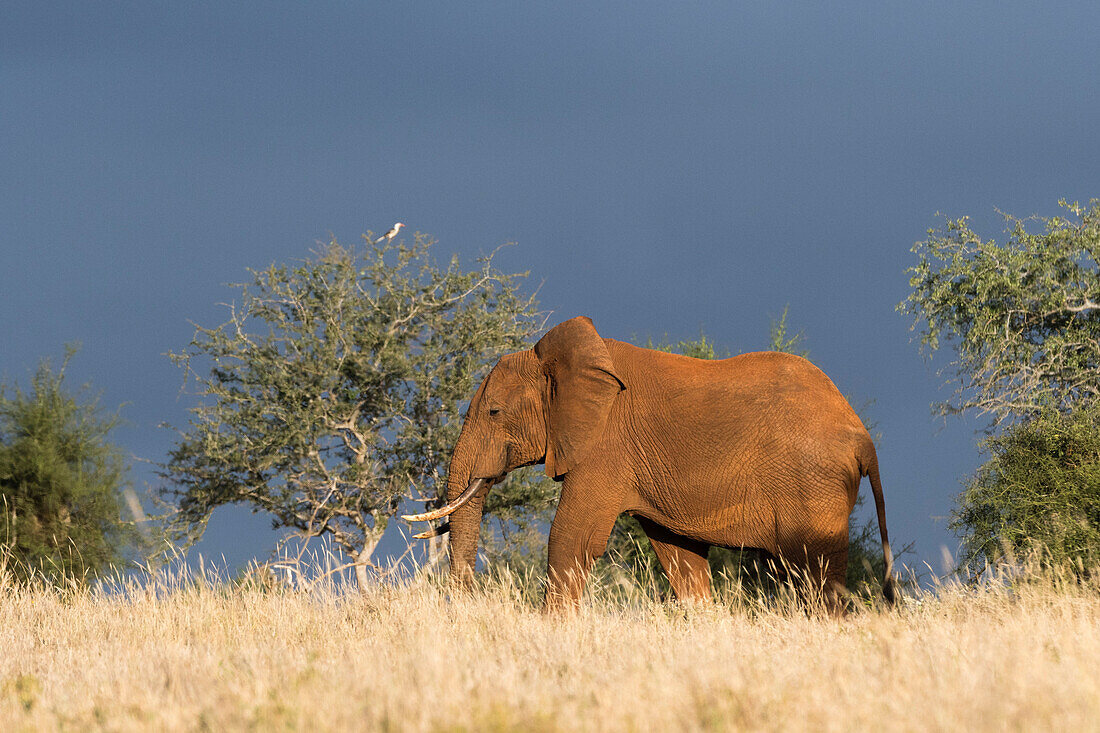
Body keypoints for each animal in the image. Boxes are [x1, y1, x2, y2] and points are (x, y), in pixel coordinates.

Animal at [404, 314, 893, 611]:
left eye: (493, 412)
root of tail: (862, 436)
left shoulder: (604, 448)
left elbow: (571, 540)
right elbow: (679, 556)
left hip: (813, 484)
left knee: (815, 574)